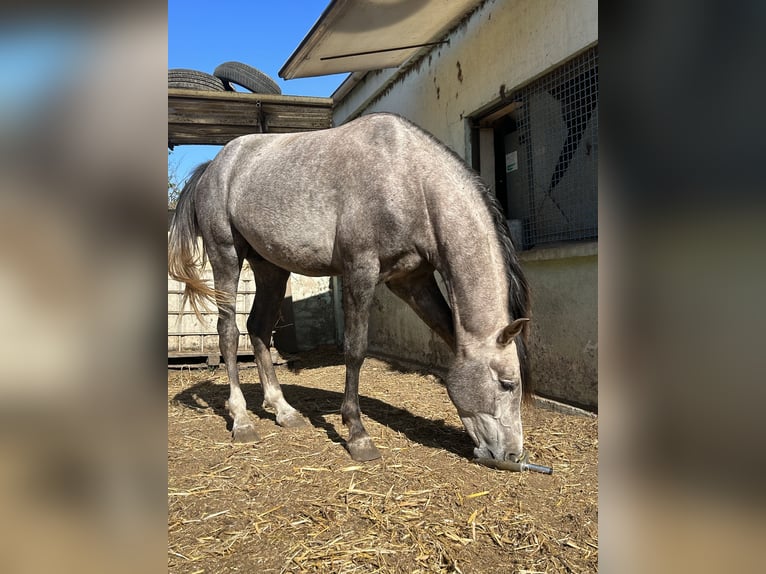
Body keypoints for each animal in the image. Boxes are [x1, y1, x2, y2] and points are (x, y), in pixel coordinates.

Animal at [168, 112, 531, 463]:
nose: (513, 454)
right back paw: (242, 420)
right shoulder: (360, 271)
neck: (408, 179)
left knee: (258, 328)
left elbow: (447, 331)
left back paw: (284, 411)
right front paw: (358, 434)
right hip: (226, 256)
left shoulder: (412, 282)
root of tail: (213, 166)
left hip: (270, 268)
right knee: (228, 331)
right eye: (507, 383)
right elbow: (355, 350)